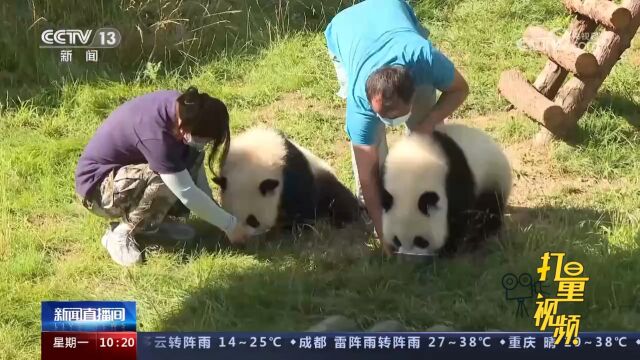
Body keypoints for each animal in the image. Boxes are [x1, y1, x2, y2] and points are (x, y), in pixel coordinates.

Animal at [380, 124, 516, 256]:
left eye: (420, 241)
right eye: (396, 240)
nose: (408, 255)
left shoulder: (455, 178)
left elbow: (458, 214)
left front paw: (449, 248)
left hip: (493, 177)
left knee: (489, 208)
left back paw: (481, 234)